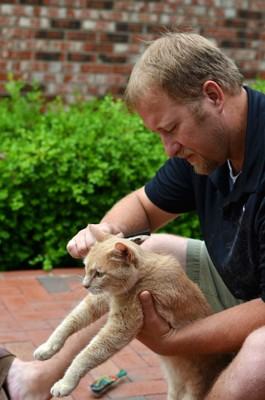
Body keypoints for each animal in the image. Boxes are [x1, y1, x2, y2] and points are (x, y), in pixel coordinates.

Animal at [33, 227, 227, 398]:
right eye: (86, 268)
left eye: (99, 274)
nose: (85, 285)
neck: (142, 275)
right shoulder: (99, 300)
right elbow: (68, 322)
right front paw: (47, 348)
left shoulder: (120, 327)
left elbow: (86, 354)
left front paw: (65, 383)